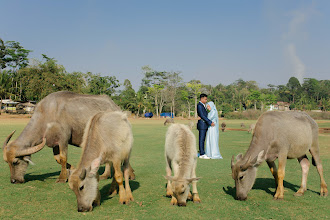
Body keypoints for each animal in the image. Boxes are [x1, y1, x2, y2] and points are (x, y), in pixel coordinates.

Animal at [2, 91, 134, 184]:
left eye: (15, 162)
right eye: (7, 162)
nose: (13, 181)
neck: (47, 115)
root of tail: (117, 107)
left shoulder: (63, 139)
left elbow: (63, 157)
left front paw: (62, 177)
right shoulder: (53, 143)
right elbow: (57, 159)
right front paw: (71, 170)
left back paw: (125, 173)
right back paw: (109, 174)